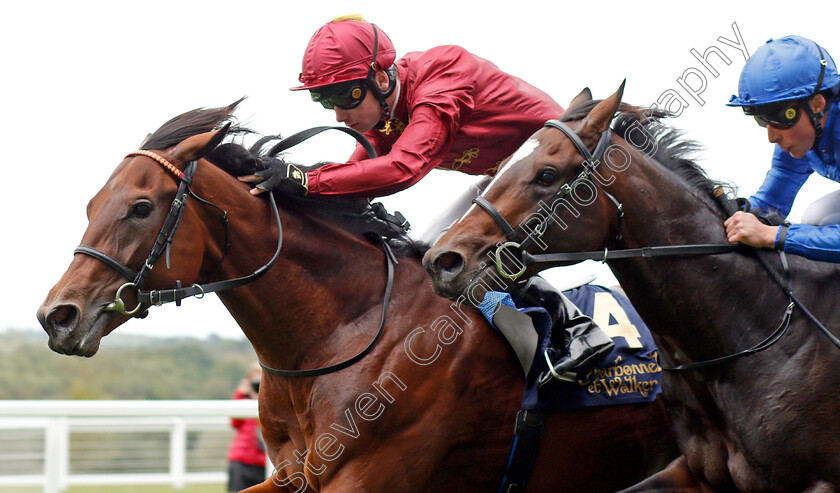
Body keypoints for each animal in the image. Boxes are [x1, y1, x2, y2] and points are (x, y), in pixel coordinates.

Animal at [37, 101, 684, 492]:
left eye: (141, 207)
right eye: (93, 204)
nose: (57, 316)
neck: (334, 334)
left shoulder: (368, 475)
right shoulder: (292, 475)